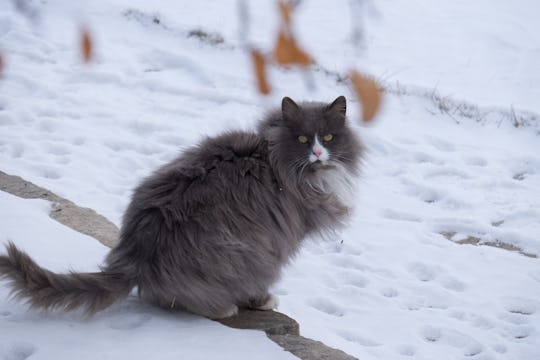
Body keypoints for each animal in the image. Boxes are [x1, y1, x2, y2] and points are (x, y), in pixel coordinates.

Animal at [1, 95, 362, 318]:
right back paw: (222, 308)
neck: (274, 158)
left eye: (329, 138)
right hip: (241, 254)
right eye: (302, 139)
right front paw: (263, 301)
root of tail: (137, 255)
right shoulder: (278, 240)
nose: (318, 153)